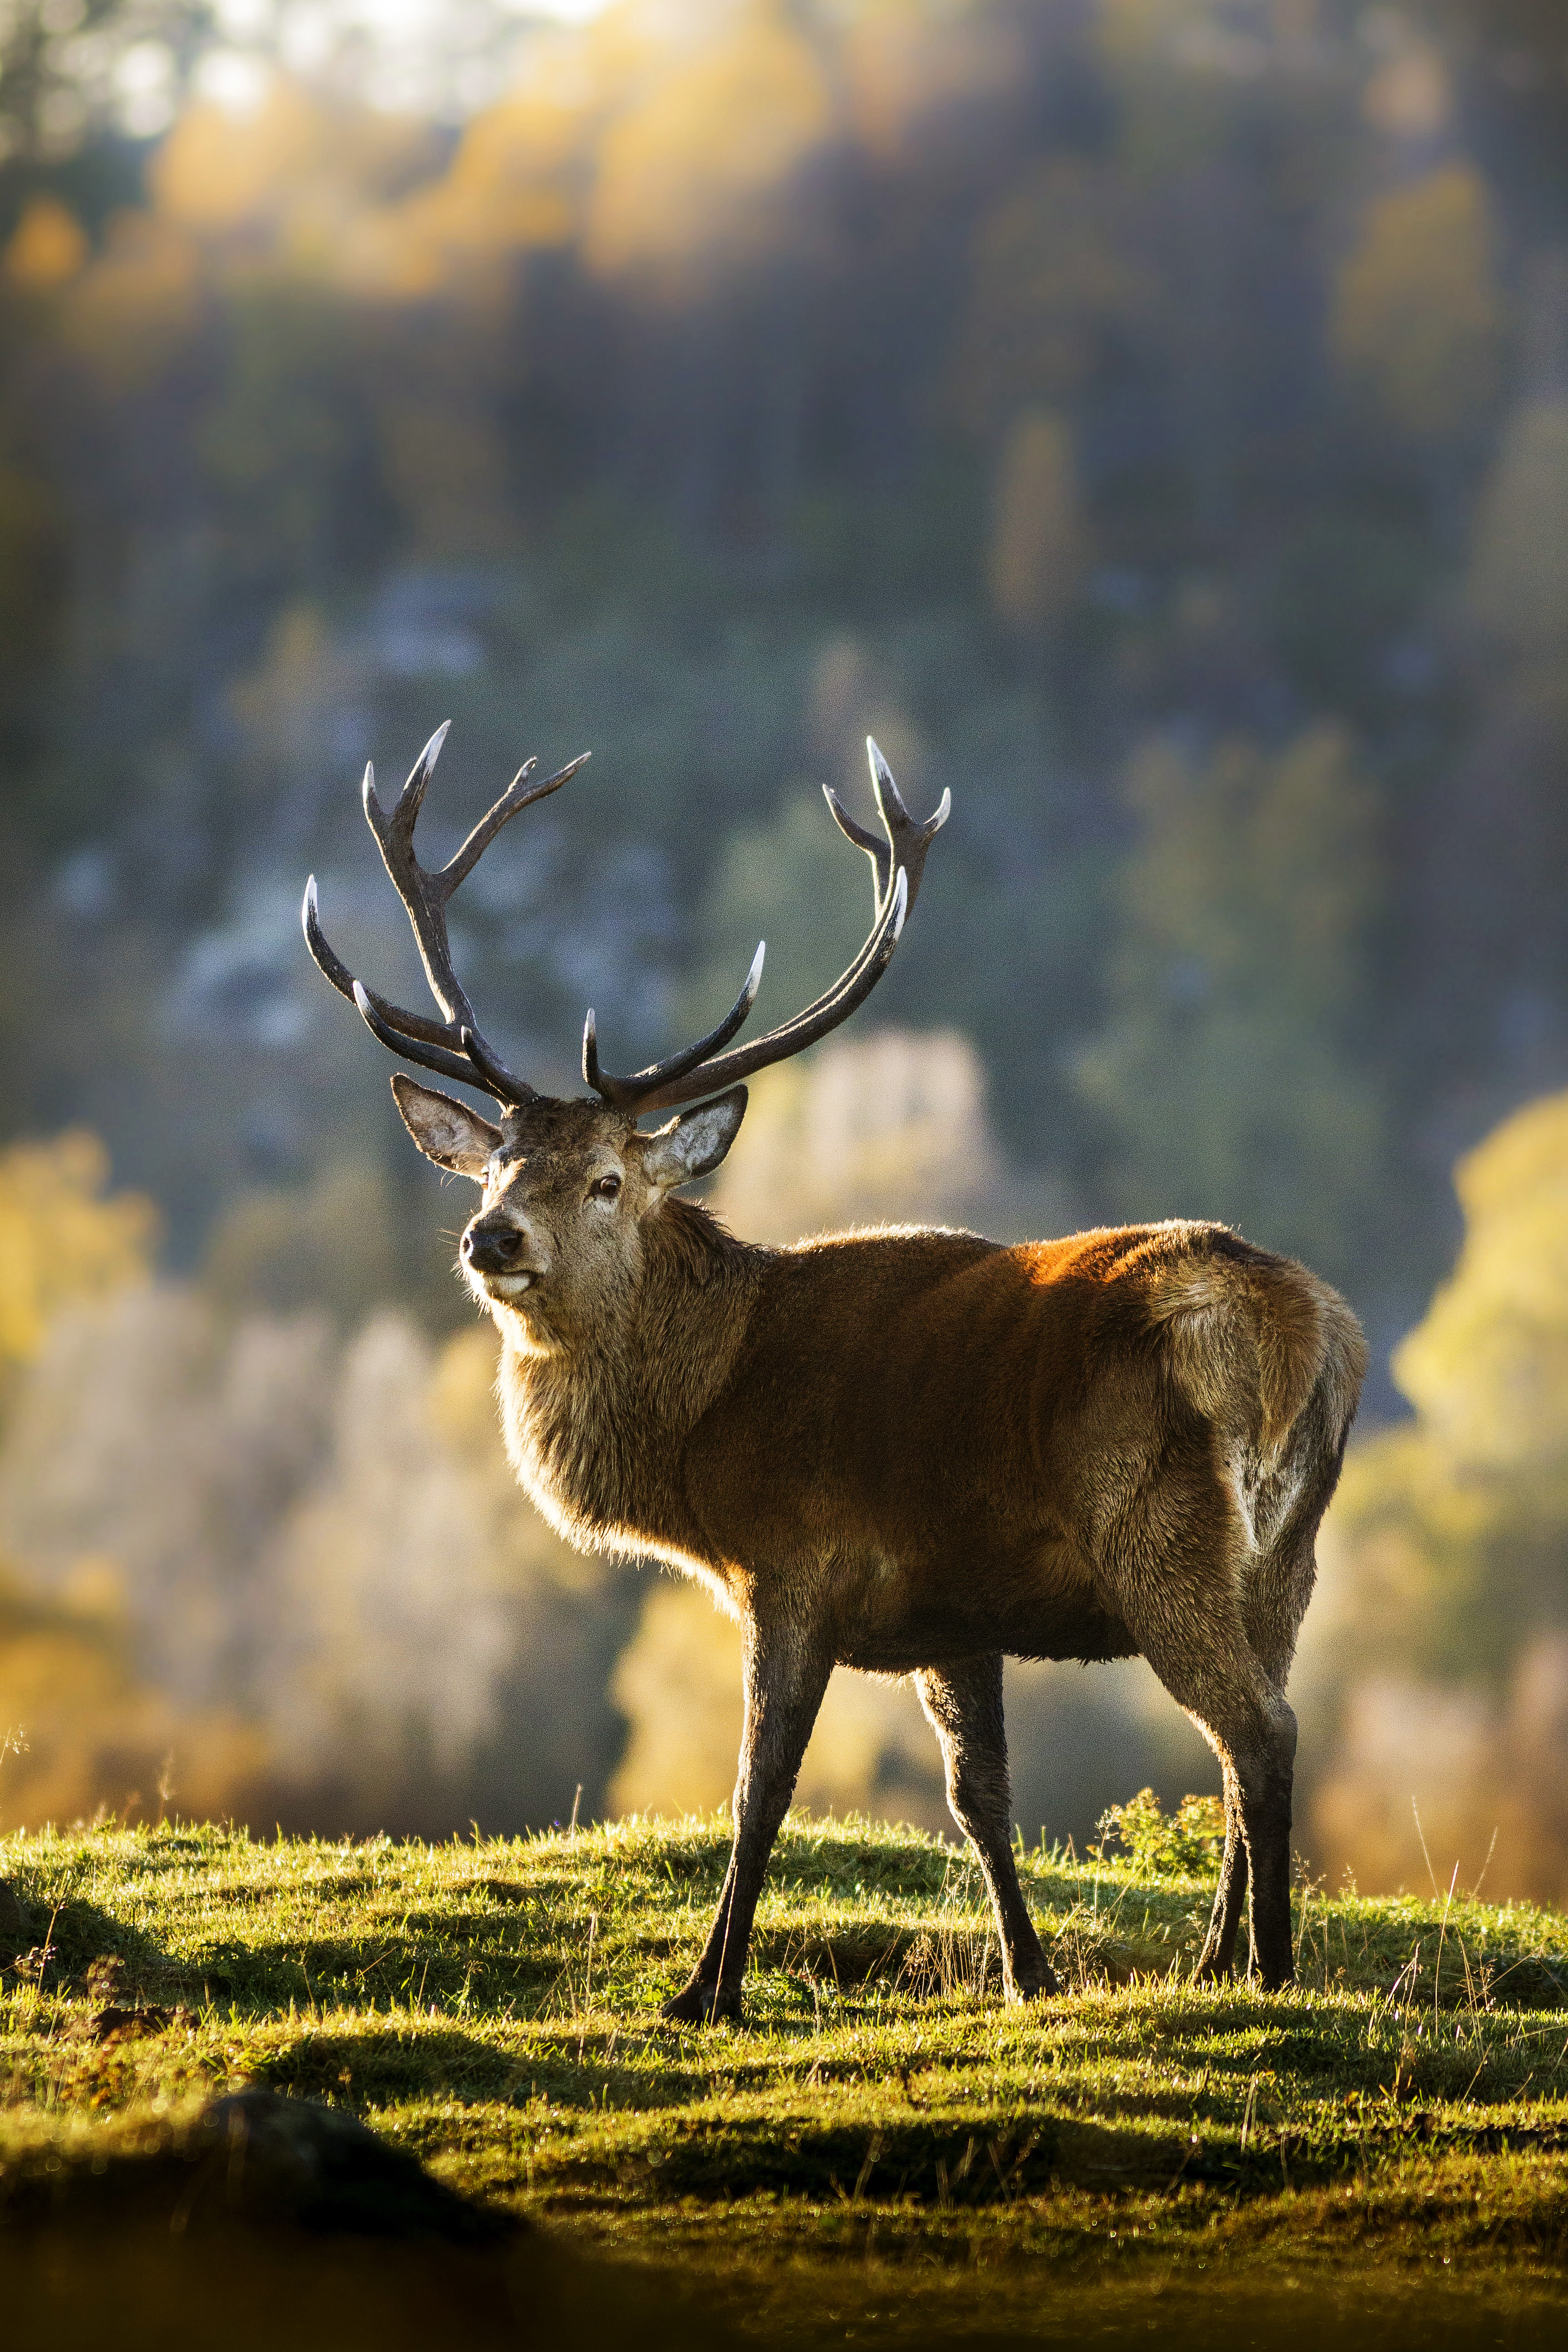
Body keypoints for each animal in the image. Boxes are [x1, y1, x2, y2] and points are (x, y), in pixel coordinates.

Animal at [303, 724, 1365, 2019]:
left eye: (607, 1179)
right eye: (495, 1163)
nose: (491, 1240)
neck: (698, 1425)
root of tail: (1302, 1336)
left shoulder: (793, 1559)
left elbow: (760, 1781)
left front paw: (705, 1991)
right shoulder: (954, 1605)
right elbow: (978, 1795)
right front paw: (1029, 1976)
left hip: (1155, 1530)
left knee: (1260, 1732)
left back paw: (1269, 1971)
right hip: (1289, 1556)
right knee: (1245, 1732)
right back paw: (1212, 1962)